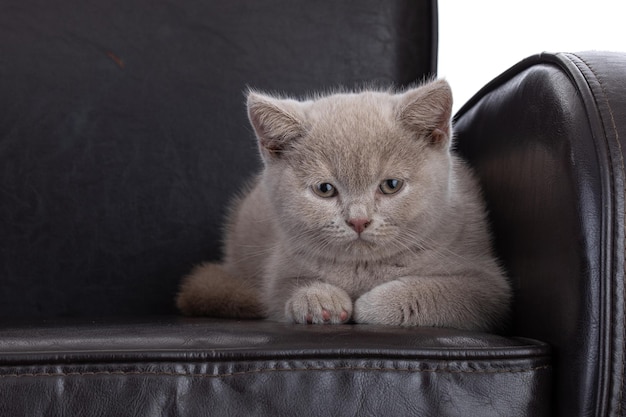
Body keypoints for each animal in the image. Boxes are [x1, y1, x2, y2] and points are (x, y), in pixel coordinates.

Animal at [174, 79, 508, 332]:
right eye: (325, 189)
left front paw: (372, 304)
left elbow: (439, 292)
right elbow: (284, 290)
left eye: (391, 185)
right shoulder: (280, 270)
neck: (363, 269)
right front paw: (318, 301)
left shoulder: (487, 287)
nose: (358, 220)